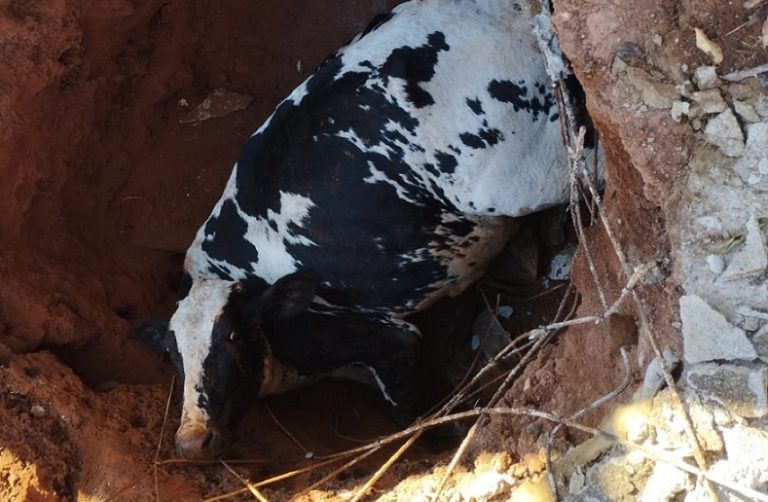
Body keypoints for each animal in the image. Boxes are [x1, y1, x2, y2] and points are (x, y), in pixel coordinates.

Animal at [137, 0, 594, 459]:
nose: (193, 441)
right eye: (173, 355)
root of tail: (515, 11)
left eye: (233, 336)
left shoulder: (388, 337)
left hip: (519, 178)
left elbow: (408, 412)